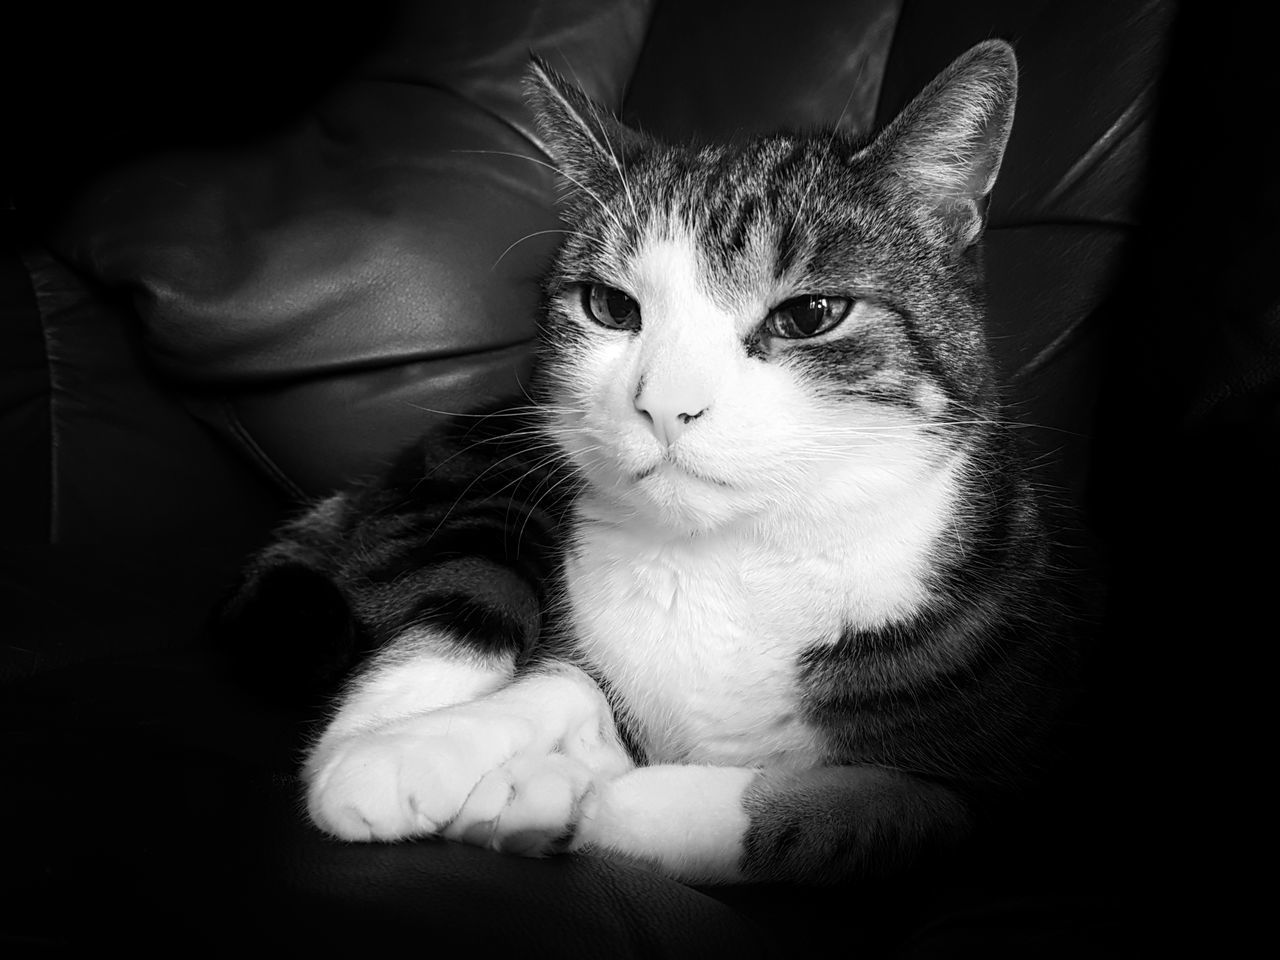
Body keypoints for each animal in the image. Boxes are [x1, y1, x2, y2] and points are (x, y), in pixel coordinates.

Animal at [225, 43, 1075, 885]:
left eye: (809, 315)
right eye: (610, 307)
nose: (666, 407)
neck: (733, 558)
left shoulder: (995, 796)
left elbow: (846, 808)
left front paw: (565, 798)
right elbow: (558, 680)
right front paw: (414, 755)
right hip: (478, 487)